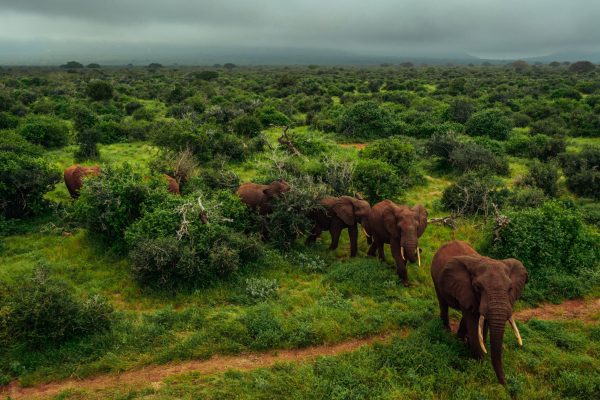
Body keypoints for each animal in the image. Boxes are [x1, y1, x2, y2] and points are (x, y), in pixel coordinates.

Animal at [428, 241, 528, 384]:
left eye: (510, 288)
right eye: (478, 287)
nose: (505, 383)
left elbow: (482, 321)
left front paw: (476, 350)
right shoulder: (466, 289)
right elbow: (474, 321)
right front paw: (479, 361)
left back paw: (460, 339)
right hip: (435, 277)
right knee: (443, 302)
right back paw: (446, 331)